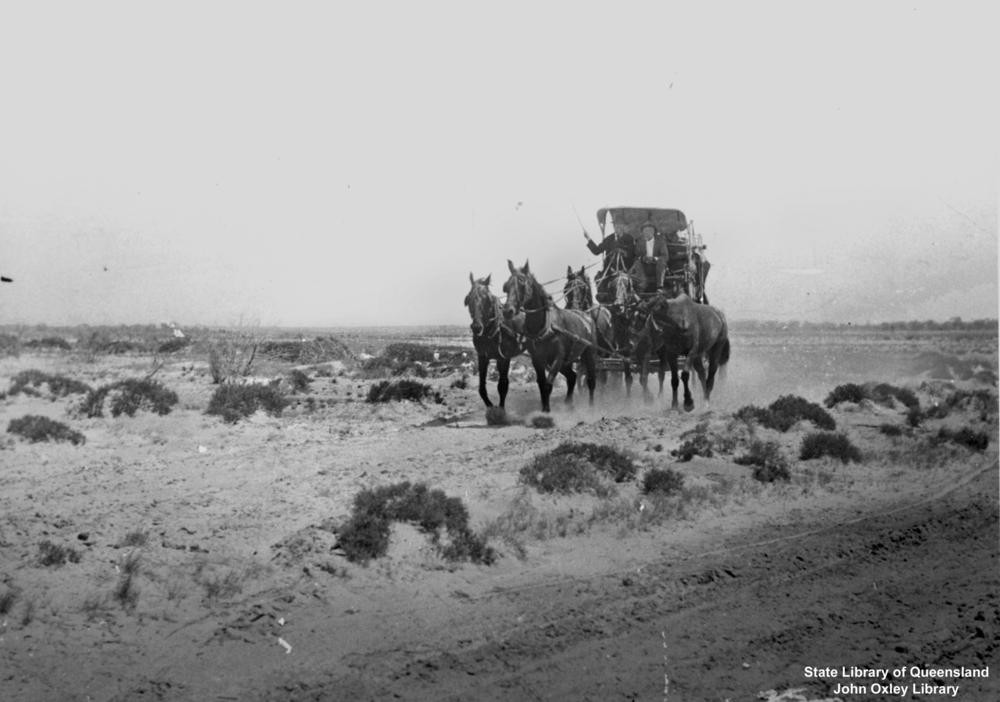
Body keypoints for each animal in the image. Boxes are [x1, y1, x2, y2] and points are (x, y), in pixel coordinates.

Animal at [462, 274, 524, 410]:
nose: (476, 327)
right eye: (468, 299)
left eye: (487, 299)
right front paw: (490, 406)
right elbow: (482, 388)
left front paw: (501, 411)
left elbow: (502, 386)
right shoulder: (482, 357)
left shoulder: (504, 358)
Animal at [504, 260, 596, 412]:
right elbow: (542, 385)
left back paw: (591, 406)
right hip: (566, 361)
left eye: (522, 283)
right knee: (572, 376)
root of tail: (585, 316)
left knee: (591, 380)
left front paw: (546, 410)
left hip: (589, 353)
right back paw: (569, 404)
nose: (507, 311)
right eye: (506, 287)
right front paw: (544, 409)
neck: (545, 327)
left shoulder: (557, 358)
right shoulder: (538, 359)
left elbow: (548, 385)